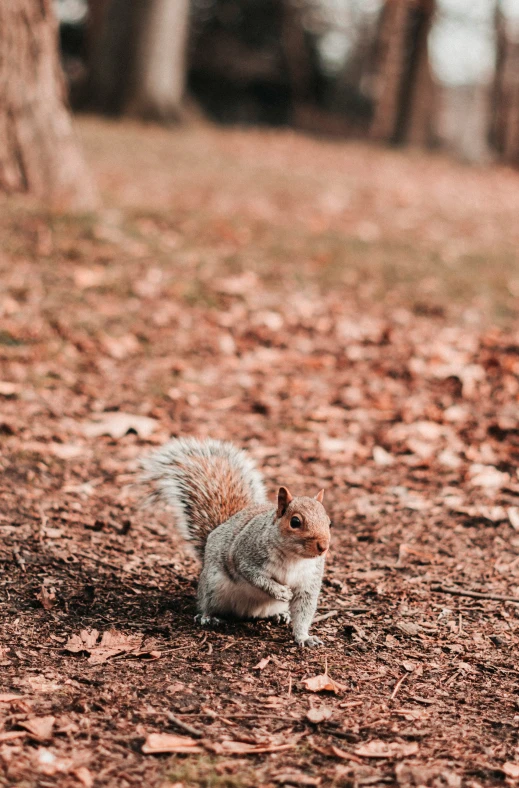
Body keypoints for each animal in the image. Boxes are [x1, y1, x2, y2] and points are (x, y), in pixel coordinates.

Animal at [141, 438, 334, 648]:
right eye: (295, 522)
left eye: (329, 522)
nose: (323, 547)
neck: (294, 558)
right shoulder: (244, 555)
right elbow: (254, 575)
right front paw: (278, 590)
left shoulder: (308, 581)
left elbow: (304, 611)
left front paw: (305, 637)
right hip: (212, 586)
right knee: (206, 604)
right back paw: (207, 617)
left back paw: (281, 614)